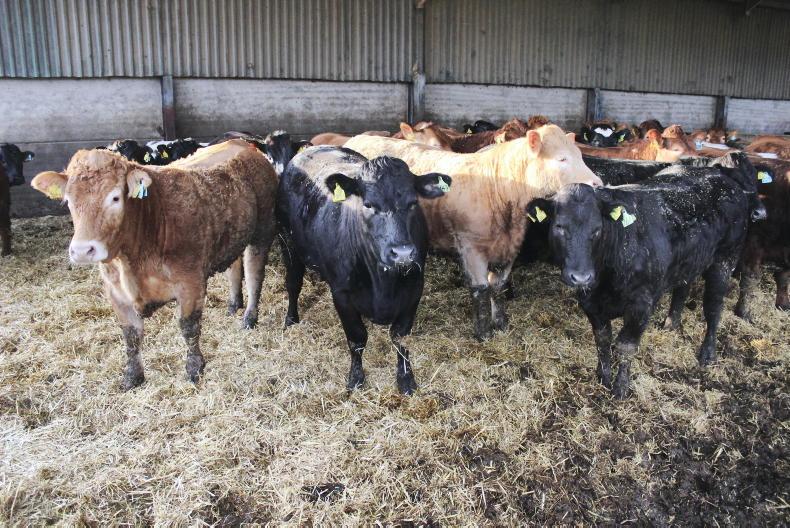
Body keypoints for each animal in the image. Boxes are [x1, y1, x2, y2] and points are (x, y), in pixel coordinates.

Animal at [30, 140, 278, 389]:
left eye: (115, 198)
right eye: (68, 200)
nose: (82, 251)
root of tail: (242, 143)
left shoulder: (191, 283)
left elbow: (189, 327)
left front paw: (194, 369)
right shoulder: (115, 292)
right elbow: (131, 335)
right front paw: (132, 376)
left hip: (262, 231)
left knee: (254, 274)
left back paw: (249, 317)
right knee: (235, 266)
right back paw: (233, 305)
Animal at [277, 145, 450, 394]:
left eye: (413, 203)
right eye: (368, 204)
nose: (403, 253)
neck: (383, 284)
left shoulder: (415, 288)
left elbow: (400, 339)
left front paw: (406, 379)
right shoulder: (342, 294)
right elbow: (357, 338)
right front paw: (356, 378)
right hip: (287, 242)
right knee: (293, 285)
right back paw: (291, 320)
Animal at [345, 124, 603, 340]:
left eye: (580, 156)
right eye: (562, 158)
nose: (598, 184)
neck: (499, 189)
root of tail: (357, 138)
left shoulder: (510, 246)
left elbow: (498, 286)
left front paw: (500, 322)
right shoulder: (471, 246)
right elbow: (481, 289)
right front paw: (483, 332)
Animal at [528, 162, 757, 398]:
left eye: (598, 229)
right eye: (559, 227)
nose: (581, 276)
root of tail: (722, 177)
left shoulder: (641, 306)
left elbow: (625, 346)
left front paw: (620, 387)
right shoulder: (590, 303)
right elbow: (602, 339)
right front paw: (603, 376)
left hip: (725, 259)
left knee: (713, 306)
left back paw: (708, 352)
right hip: (688, 262)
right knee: (682, 289)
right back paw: (671, 323)